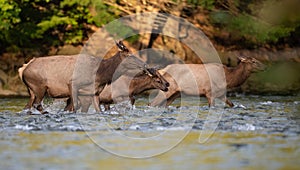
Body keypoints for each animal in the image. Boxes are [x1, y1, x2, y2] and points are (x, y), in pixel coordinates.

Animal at [19, 40, 149, 113]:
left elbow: (98, 110)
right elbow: (74, 107)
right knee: (36, 104)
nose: (145, 65)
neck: (100, 74)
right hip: (39, 87)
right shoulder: (72, 84)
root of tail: (23, 69)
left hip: (31, 90)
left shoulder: (95, 92)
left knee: (28, 106)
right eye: (130, 55)